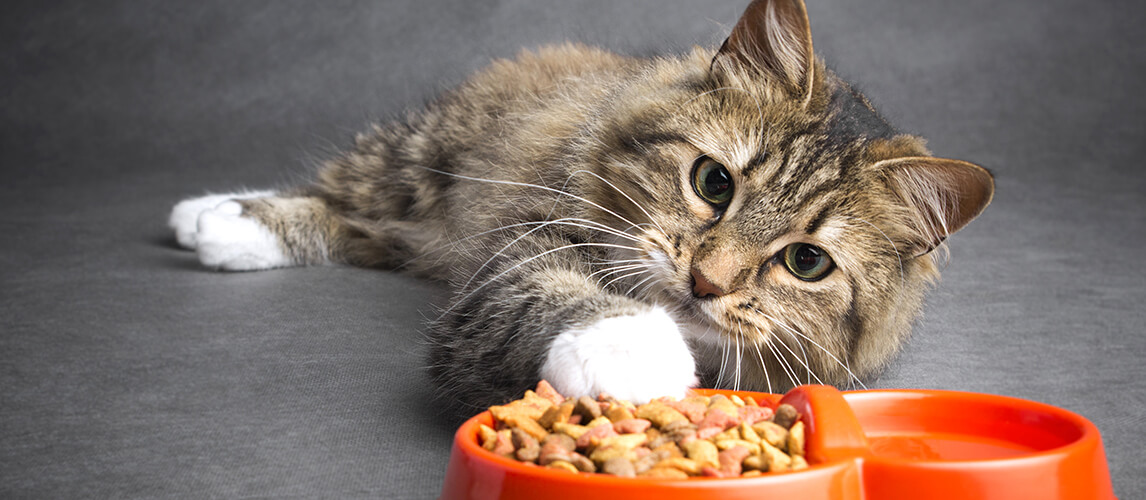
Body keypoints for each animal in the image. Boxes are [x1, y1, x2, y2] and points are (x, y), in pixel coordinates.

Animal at [169, 0, 994, 412]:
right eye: (713, 184)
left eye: (806, 262)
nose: (707, 283)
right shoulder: (516, 254)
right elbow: (556, 294)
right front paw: (631, 350)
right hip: (419, 158)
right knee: (340, 195)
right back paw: (219, 219)